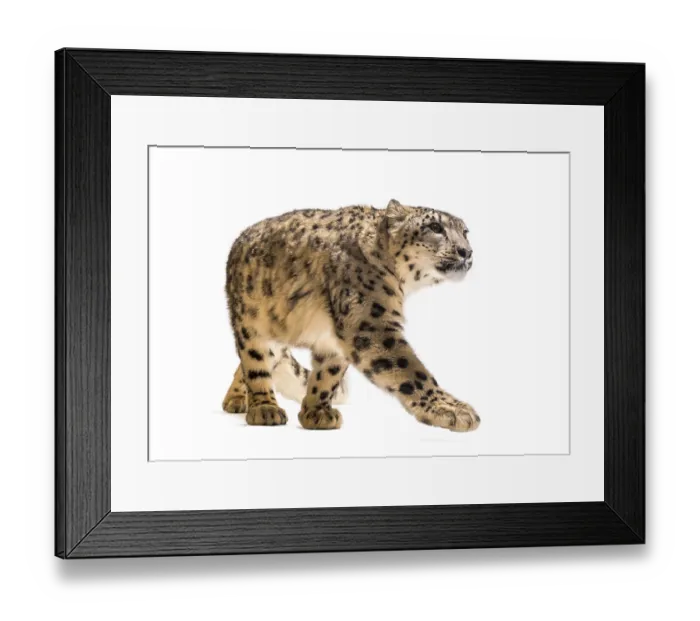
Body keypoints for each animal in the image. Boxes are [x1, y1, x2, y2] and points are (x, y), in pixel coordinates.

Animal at [222, 199, 480, 432]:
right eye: (435, 227)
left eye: (465, 232)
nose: (467, 252)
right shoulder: (369, 323)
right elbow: (410, 370)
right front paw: (453, 410)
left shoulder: (333, 337)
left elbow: (329, 372)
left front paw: (317, 413)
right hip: (250, 322)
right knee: (255, 361)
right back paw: (263, 408)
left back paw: (238, 400)